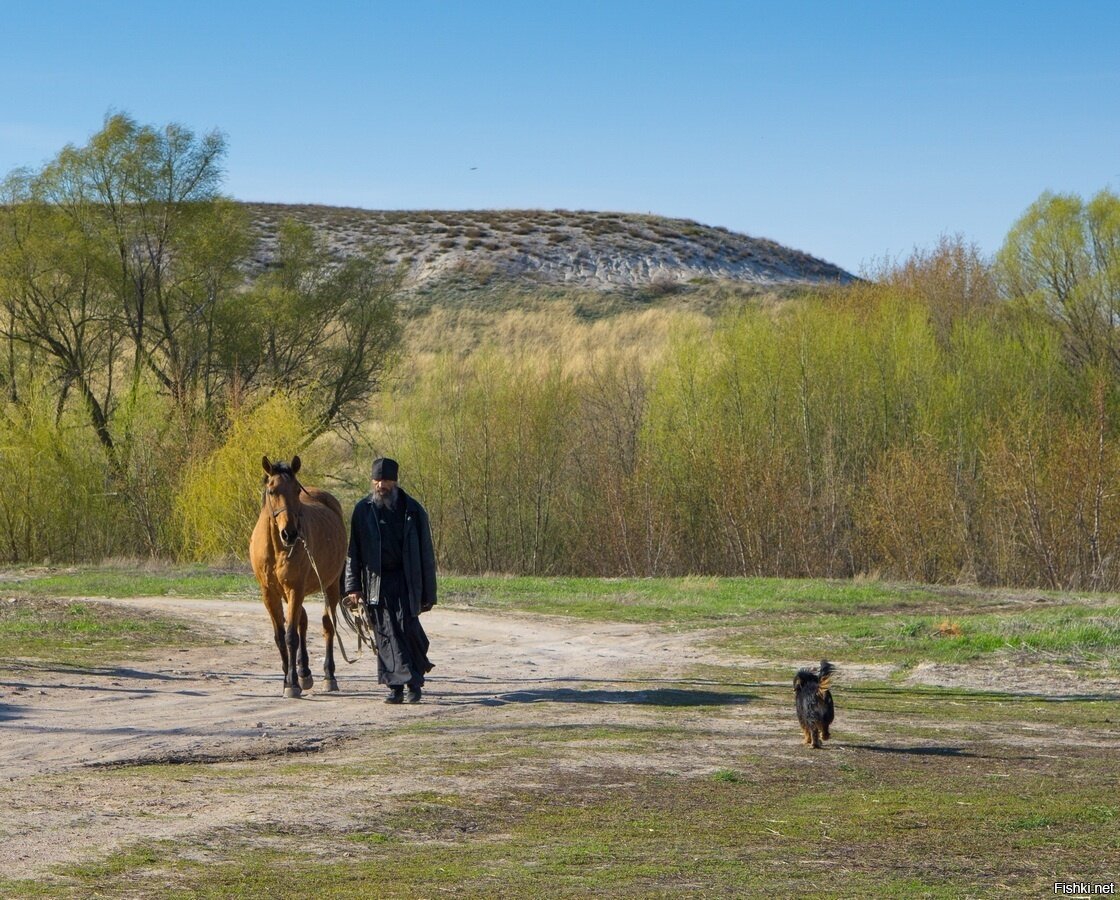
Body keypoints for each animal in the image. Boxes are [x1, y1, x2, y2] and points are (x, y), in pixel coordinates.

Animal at [249, 454, 344, 698]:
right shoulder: (270, 594)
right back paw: (304, 672)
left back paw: (328, 676)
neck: (277, 548)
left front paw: (291, 684)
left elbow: (291, 636)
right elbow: (280, 636)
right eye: (272, 490)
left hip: (330, 586)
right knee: (303, 621)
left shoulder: (295, 588)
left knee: (327, 625)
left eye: (296, 491)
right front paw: (289, 677)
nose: (290, 533)